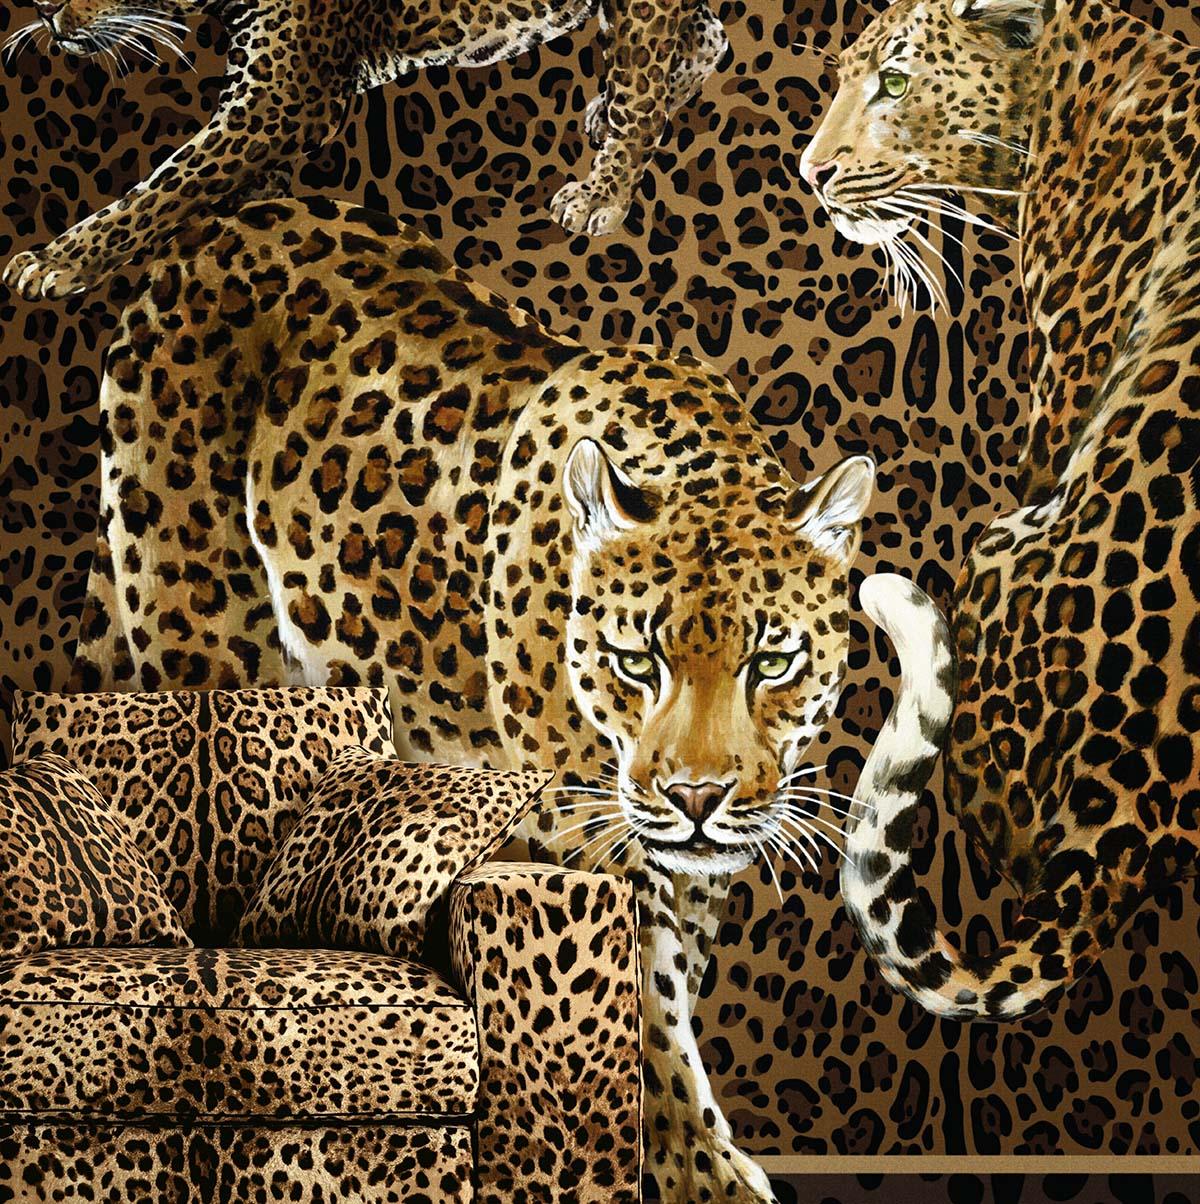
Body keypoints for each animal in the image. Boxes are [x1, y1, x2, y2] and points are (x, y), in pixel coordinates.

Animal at [0, 0, 730, 303]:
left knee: (649, 72)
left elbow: (165, 184)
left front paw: (54, 261)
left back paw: (604, 189)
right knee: (707, 38)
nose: (44, 7)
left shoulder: (285, 90)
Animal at [64, 193, 877, 1202]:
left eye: (770, 661)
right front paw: (706, 1175)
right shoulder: (593, 848)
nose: (697, 797)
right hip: (201, 635)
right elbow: (644, 1030)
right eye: (634, 660)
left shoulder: (676, 872)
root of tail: (232, 219)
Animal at [800, 0, 1200, 1020]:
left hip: (998, 545)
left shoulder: (1067, 376)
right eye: (842, 76)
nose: (811, 173)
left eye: (896, 82)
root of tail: (1124, 822)